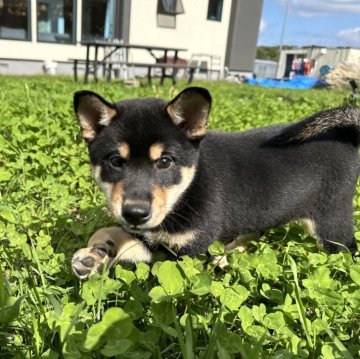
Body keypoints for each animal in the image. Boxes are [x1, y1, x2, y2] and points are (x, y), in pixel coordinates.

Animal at [70, 86, 358, 278]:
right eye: (115, 161)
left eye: (165, 161)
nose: (135, 213)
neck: (185, 193)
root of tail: (347, 137)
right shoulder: (154, 239)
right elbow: (107, 233)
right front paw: (94, 257)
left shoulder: (188, 250)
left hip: (332, 227)